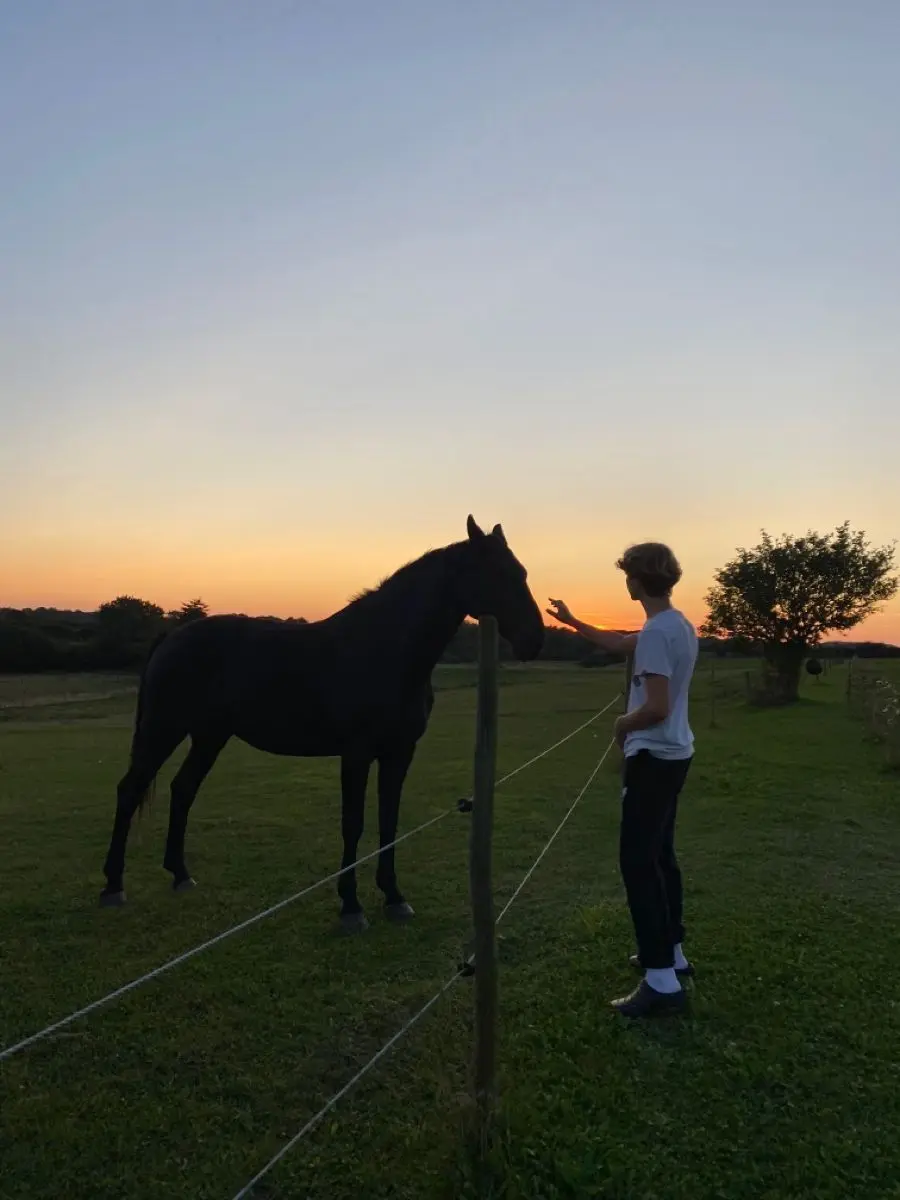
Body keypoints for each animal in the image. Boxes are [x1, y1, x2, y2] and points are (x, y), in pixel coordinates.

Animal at [100, 515, 544, 929]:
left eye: (522, 572)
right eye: (499, 573)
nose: (535, 640)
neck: (385, 649)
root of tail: (171, 638)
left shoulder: (399, 753)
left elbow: (389, 821)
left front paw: (394, 897)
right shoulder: (357, 754)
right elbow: (354, 824)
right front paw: (351, 907)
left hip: (210, 736)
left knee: (183, 789)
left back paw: (180, 875)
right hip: (163, 729)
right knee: (130, 790)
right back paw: (113, 886)